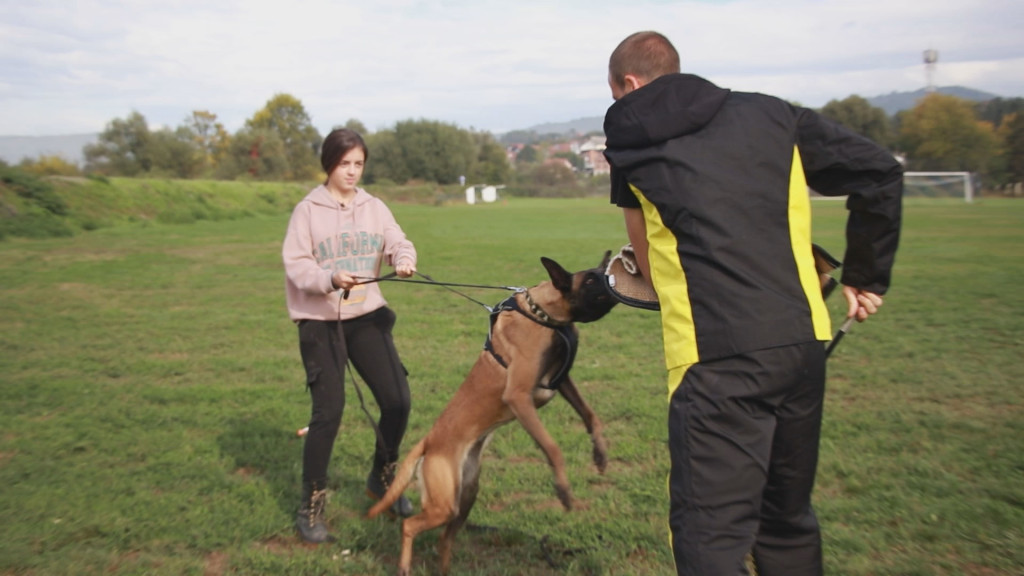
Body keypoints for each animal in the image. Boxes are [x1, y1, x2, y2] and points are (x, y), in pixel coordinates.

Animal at [372, 252, 618, 573]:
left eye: (601, 272)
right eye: (590, 279)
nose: (613, 277)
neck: (543, 314)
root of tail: (428, 441)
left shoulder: (562, 382)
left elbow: (591, 416)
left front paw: (599, 454)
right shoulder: (519, 397)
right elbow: (552, 447)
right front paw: (563, 491)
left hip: (465, 497)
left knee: (445, 539)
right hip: (443, 503)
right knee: (410, 526)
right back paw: (404, 566)